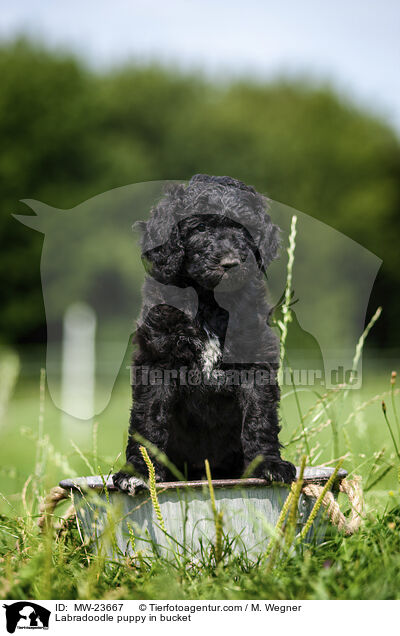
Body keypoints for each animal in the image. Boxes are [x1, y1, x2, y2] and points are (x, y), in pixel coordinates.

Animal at [113, 176, 296, 494]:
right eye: (199, 228)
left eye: (243, 229)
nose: (231, 262)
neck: (209, 301)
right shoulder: (157, 360)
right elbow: (148, 420)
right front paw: (139, 471)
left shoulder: (255, 360)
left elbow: (259, 416)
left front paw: (269, 464)